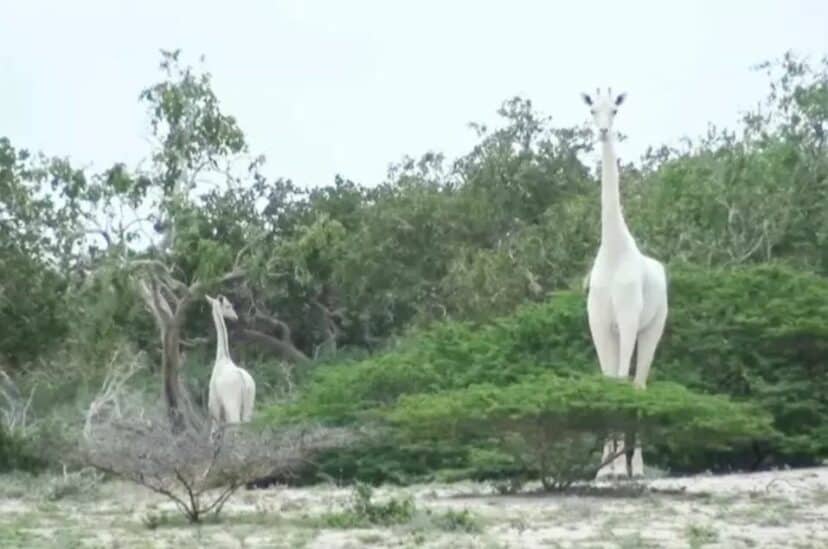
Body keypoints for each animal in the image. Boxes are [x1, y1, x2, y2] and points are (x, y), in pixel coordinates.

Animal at [205, 294, 256, 430]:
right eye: (228, 306)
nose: (235, 317)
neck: (222, 357)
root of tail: (243, 382)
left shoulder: (214, 407)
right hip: (249, 404)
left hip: (231, 404)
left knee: (236, 425)